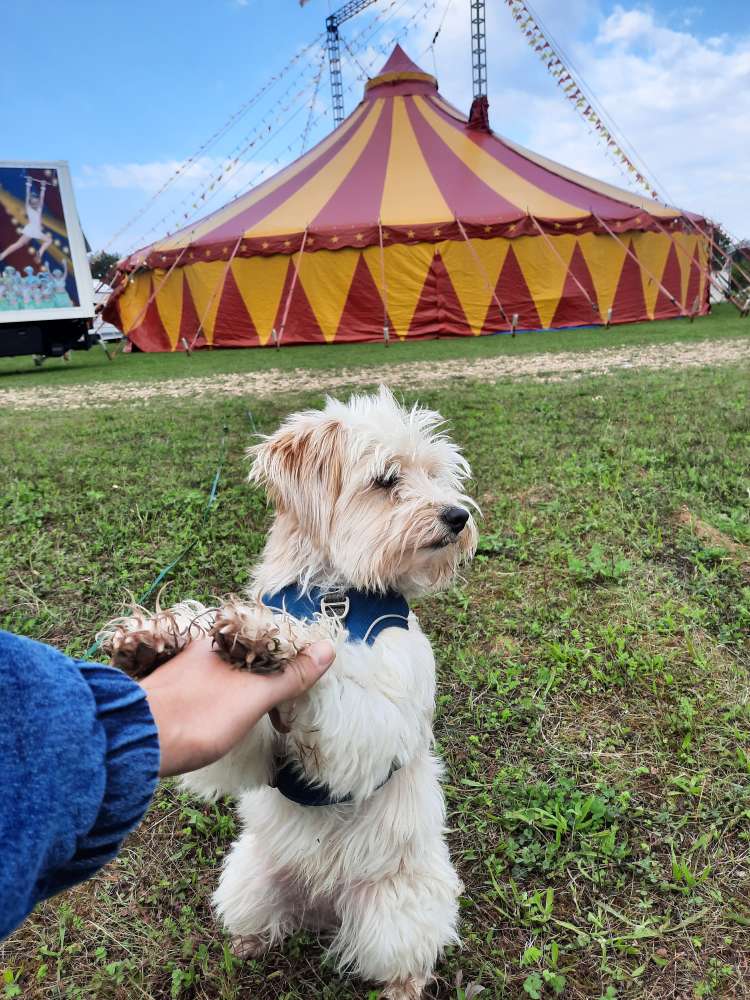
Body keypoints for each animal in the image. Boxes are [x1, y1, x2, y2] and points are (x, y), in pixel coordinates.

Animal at [103, 386, 478, 996]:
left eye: (437, 475)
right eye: (387, 479)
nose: (458, 515)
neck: (336, 591)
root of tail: (326, 906)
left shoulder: (380, 719)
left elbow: (339, 683)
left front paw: (272, 637)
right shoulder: (253, 747)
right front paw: (159, 638)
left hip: (398, 912)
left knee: (406, 957)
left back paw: (402, 986)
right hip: (247, 879)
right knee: (270, 919)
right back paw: (250, 943)